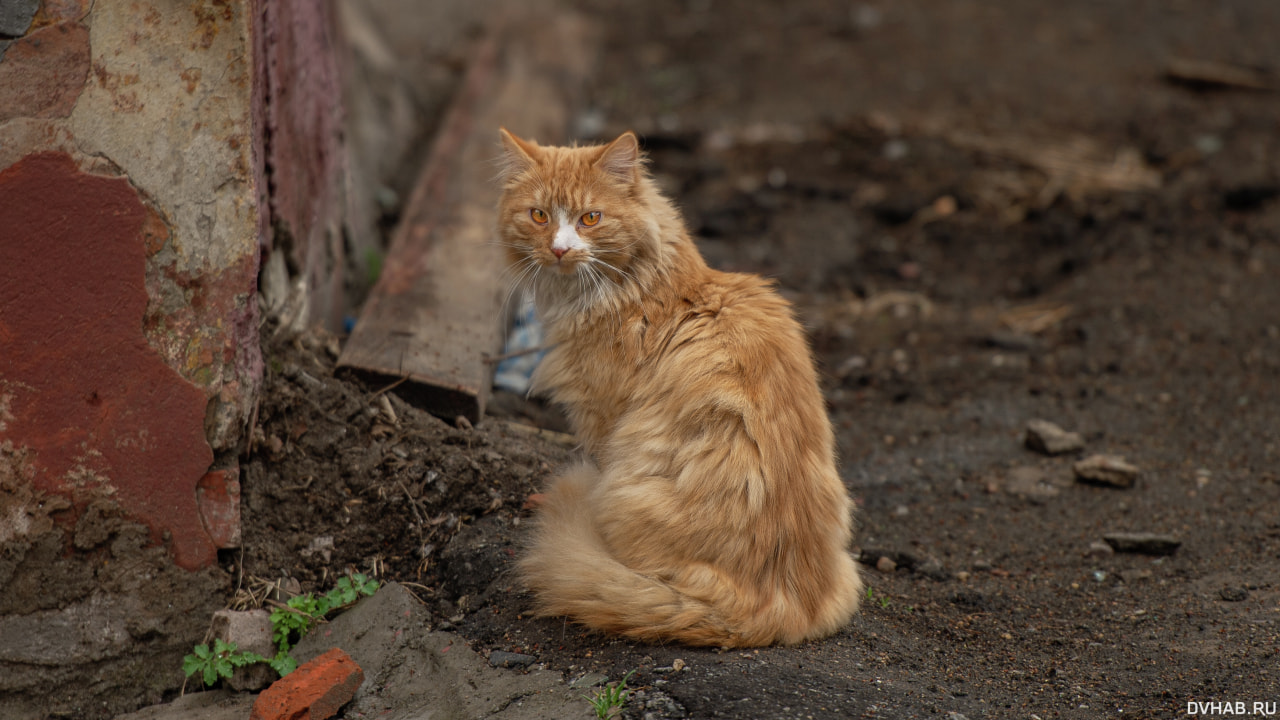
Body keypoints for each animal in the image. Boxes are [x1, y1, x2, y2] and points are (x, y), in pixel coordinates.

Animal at [494, 128, 865, 645]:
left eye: (591, 218)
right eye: (539, 216)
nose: (561, 250)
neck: (640, 288)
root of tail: (777, 615)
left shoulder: (601, 419)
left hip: (624, 488)